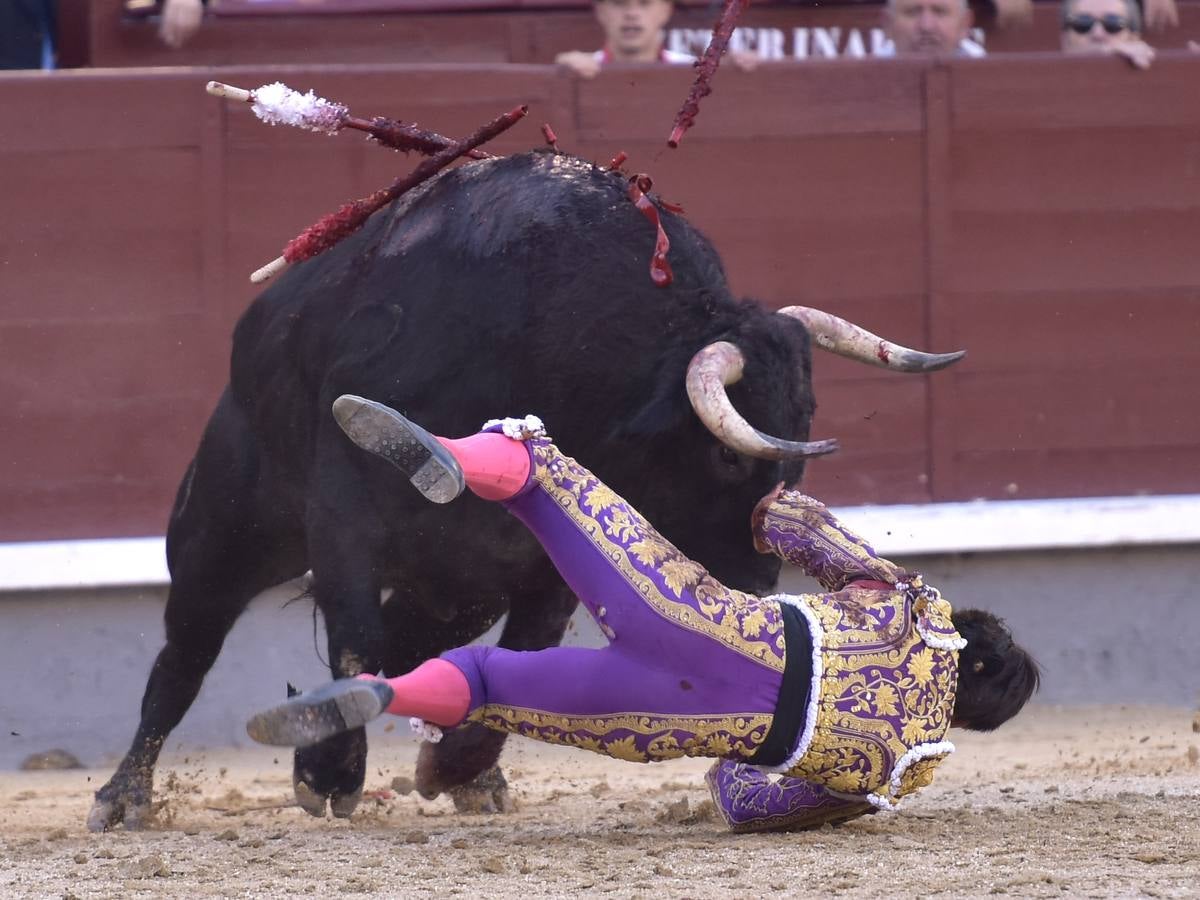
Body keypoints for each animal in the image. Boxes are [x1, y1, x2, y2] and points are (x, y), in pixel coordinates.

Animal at [87, 148, 964, 830]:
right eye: (724, 457)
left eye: (800, 434)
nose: (754, 587)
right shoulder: (344, 512)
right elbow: (353, 630)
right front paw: (332, 777)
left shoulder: (532, 568)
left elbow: (523, 647)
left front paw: (458, 770)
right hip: (222, 532)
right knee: (186, 654)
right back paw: (124, 797)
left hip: (456, 585)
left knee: (414, 641)